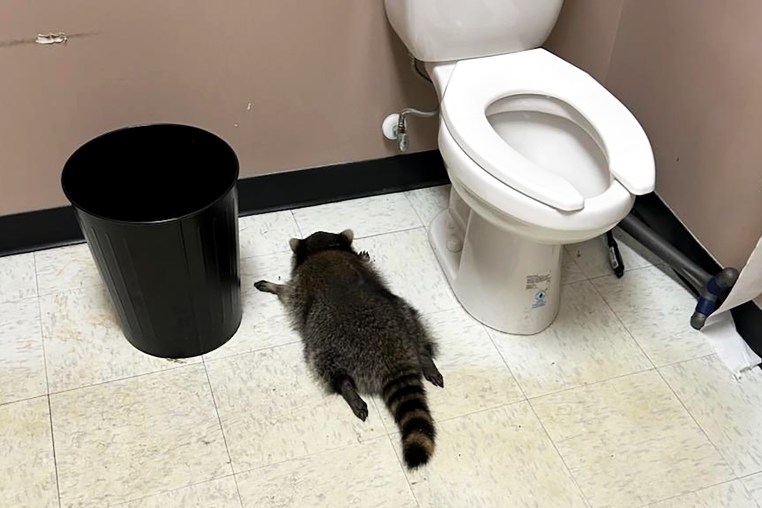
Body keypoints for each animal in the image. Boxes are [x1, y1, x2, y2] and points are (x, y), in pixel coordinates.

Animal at [254, 229, 444, 469]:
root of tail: (393, 355)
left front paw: (274, 286)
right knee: (417, 328)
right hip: (405, 315)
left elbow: (288, 293)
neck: (324, 249)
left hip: (327, 343)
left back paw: (346, 388)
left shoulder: (299, 286)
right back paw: (425, 358)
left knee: (325, 366)